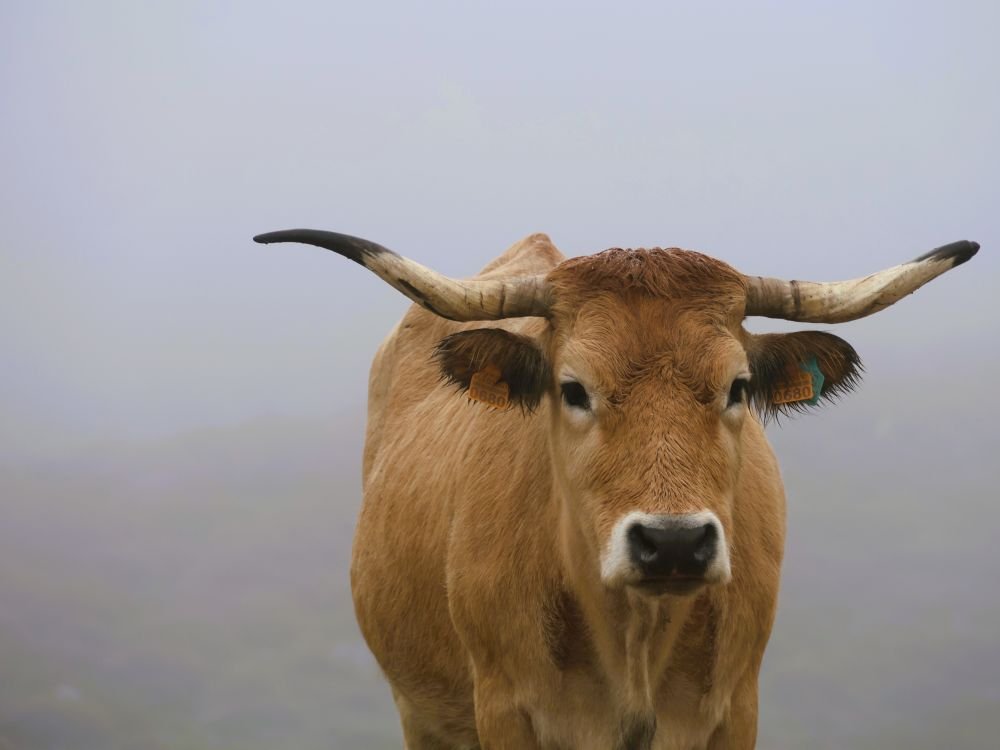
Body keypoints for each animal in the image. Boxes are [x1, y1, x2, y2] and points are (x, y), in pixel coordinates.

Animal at [254, 228, 978, 750]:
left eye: (739, 387)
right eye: (573, 389)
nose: (674, 543)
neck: (634, 644)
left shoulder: (737, 707)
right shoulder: (503, 709)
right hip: (421, 716)